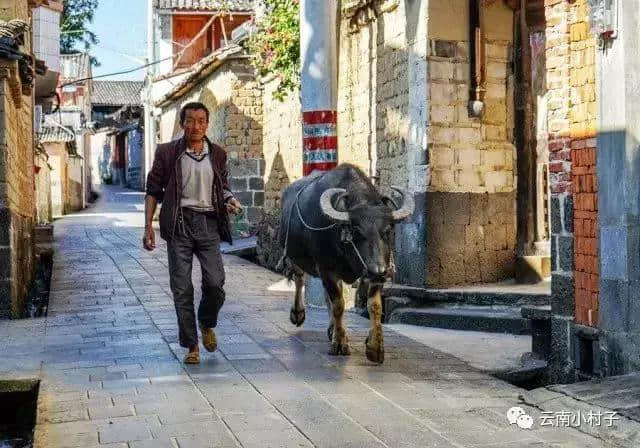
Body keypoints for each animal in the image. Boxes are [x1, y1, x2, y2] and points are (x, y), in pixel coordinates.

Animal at [278, 164, 412, 364]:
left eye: (388, 230)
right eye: (357, 231)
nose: (379, 271)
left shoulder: (375, 270)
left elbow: (374, 306)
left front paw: (375, 347)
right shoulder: (327, 269)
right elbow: (338, 304)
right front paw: (340, 343)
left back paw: (331, 328)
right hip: (294, 256)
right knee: (300, 279)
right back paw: (298, 314)